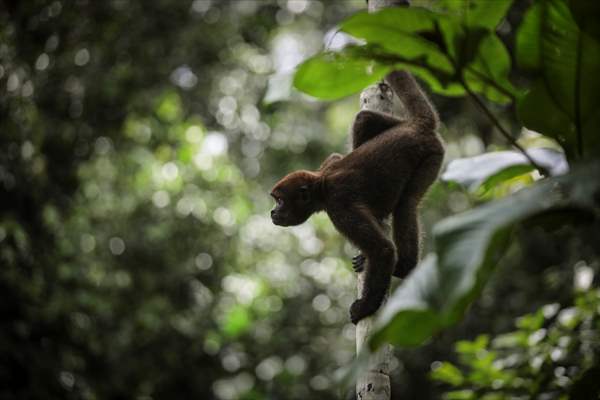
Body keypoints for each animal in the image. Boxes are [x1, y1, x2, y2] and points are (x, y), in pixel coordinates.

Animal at [270, 70, 442, 324]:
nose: (273, 212)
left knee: (406, 204)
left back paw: (403, 267)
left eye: (280, 201)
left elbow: (383, 250)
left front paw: (365, 307)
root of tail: (417, 125)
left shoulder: (338, 205)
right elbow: (336, 155)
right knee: (363, 119)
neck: (322, 185)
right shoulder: (328, 166)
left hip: (431, 156)